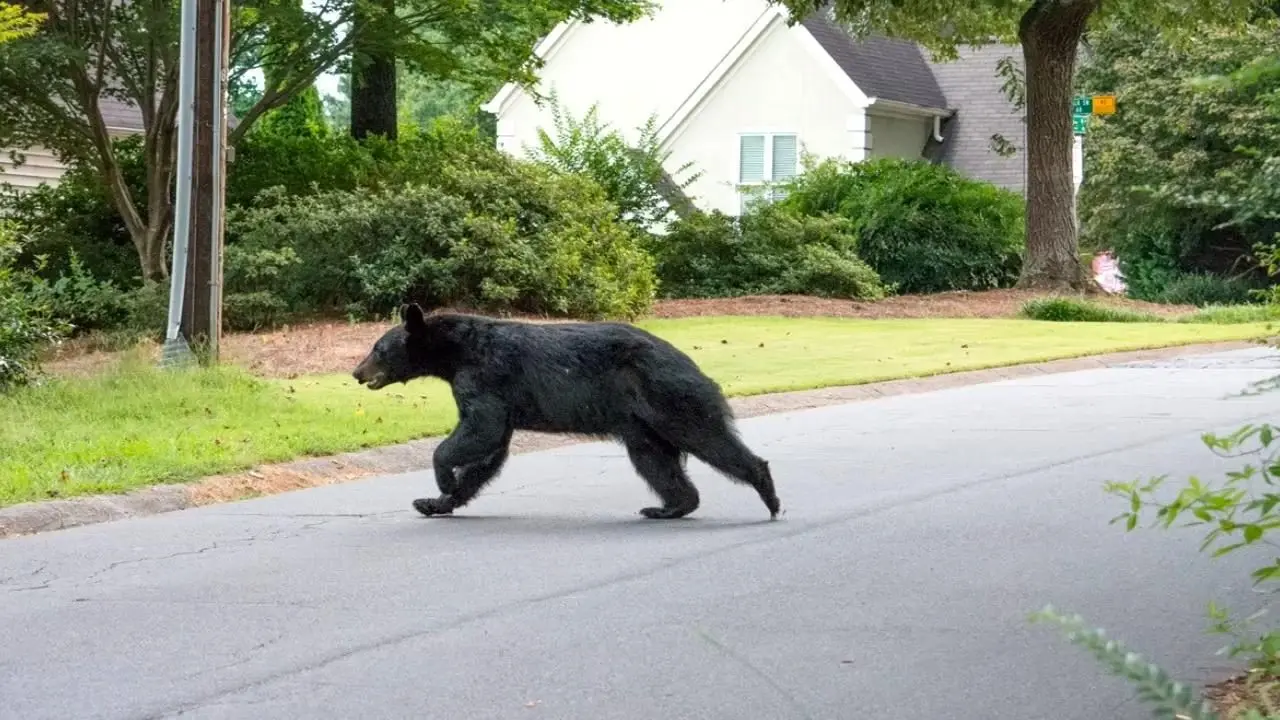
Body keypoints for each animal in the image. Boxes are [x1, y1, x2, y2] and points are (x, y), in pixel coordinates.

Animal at [351, 303, 781, 521]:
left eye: (378, 348)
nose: (356, 372)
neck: (456, 351)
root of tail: (694, 366)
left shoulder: (487, 375)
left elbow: (480, 429)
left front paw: (442, 478)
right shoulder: (495, 392)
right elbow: (489, 451)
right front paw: (435, 501)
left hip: (669, 397)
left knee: (707, 437)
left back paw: (768, 492)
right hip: (642, 424)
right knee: (655, 461)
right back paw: (670, 506)